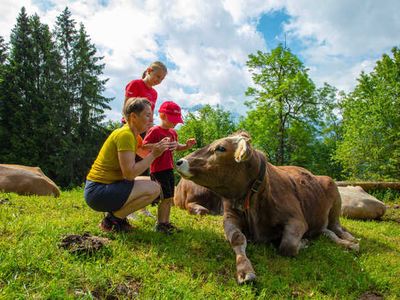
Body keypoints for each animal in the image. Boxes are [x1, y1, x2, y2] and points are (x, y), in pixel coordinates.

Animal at [175, 131, 360, 284]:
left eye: (221, 148)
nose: (179, 161)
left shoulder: (297, 220)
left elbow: (287, 246)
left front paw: (303, 242)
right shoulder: (229, 217)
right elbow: (237, 239)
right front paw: (245, 270)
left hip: (334, 193)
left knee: (336, 227)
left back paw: (350, 241)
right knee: (325, 231)